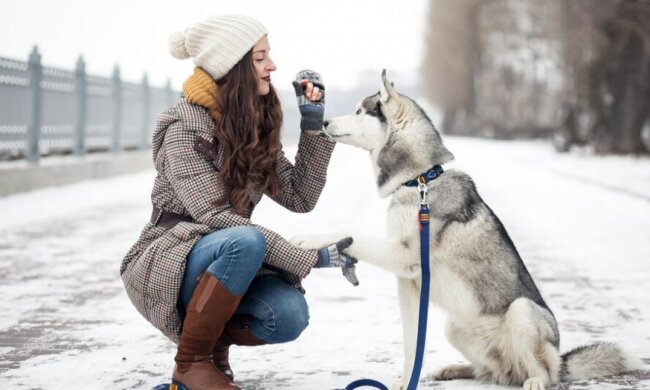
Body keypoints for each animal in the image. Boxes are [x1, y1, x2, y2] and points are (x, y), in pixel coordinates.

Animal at [292, 71, 636, 390]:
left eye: (360, 111)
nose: (325, 122)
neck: (419, 181)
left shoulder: (404, 255)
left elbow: (350, 232)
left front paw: (307, 237)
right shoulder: (408, 281)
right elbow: (410, 344)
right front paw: (407, 381)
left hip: (522, 312)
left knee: (544, 373)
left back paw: (535, 381)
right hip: (455, 329)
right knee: (494, 373)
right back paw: (455, 369)